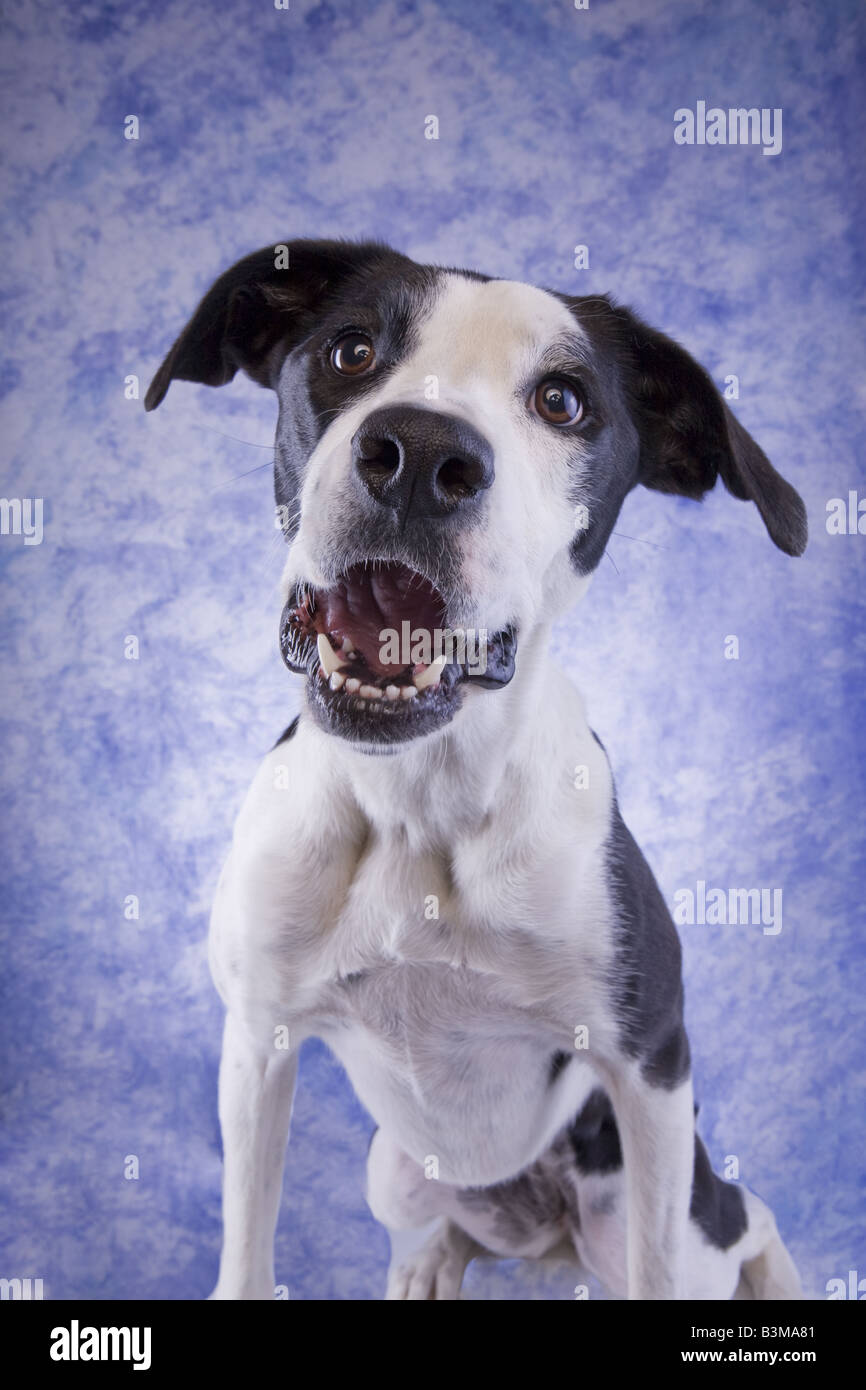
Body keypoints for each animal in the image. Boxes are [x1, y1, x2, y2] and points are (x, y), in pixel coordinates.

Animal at [145, 239, 811, 1301]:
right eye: (352, 349)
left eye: (563, 401)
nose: (419, 454)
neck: (420, 802)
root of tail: (540, 1237)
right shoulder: (255, 1042)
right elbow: (247, 1251)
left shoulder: (652, 1066)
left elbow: (664, 1263)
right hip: (393, 1169)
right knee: (445, 1227)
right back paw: (428, 1268)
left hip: (652, 1196)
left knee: (740, 1217)